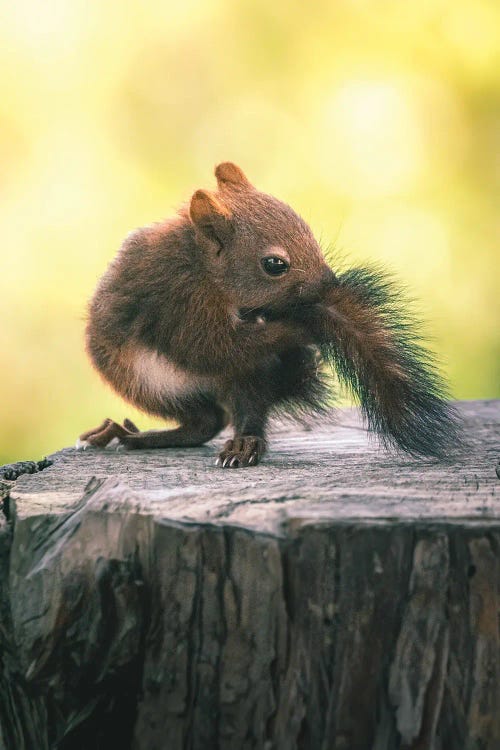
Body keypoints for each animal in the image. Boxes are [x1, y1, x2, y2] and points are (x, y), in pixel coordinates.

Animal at [80, 164, 458, 468]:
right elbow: (210, 348)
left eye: (309, 231)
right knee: (206, 420)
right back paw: (135, 437)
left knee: (240, 412)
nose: (329, 284)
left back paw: (243, 443)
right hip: (149, 382)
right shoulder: (182, 303)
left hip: (247, 376)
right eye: (274, 264)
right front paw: (308, 321)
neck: (202, 266)